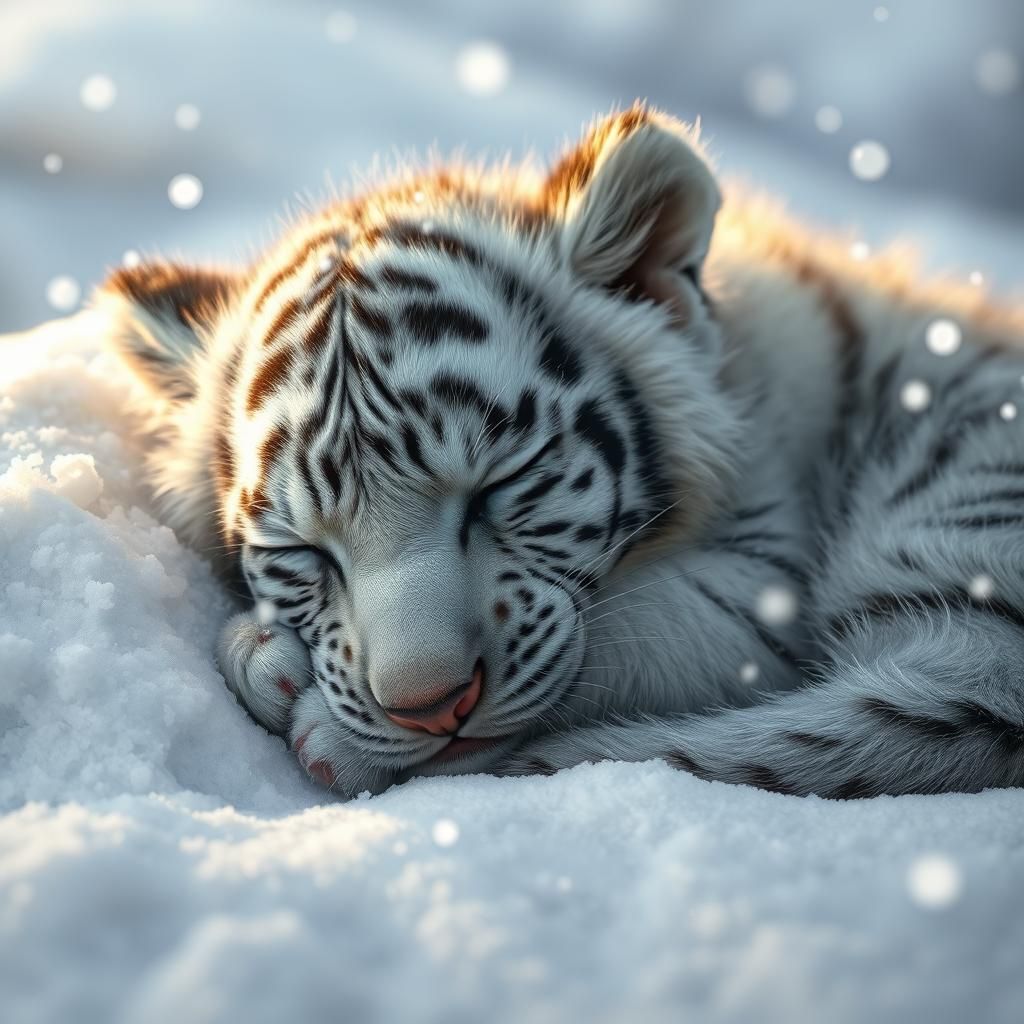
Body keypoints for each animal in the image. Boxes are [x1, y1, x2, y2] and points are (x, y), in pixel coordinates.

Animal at [97, 104, 1024, 800]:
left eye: (499, 487)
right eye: (300, 551)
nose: (428, 707)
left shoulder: (762, 582)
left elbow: (622, 634)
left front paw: (316, 717)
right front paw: (271, 659)